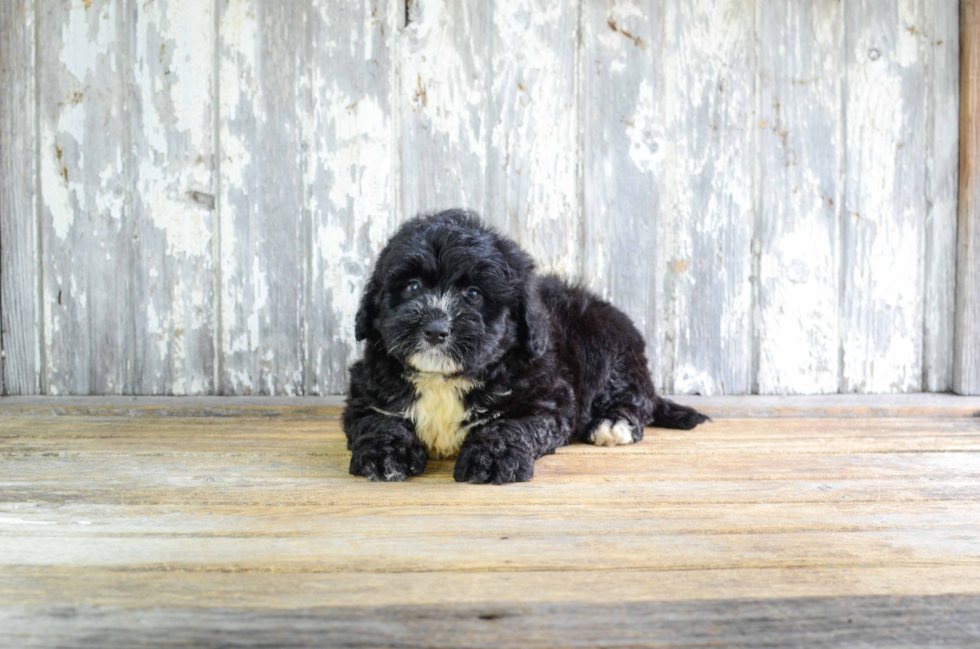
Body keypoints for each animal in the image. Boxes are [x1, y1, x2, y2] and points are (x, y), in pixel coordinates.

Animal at [340, 210, 708, 484]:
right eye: (413, 286)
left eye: (474, 294)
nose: (435, 329)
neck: (445, 379)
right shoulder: (366, 394)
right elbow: (379, 422)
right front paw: (384, 456)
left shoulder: (545, 400)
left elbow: (509, 425)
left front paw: (492, 458)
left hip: (610, 349)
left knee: (633, 398)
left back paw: (613, 424)